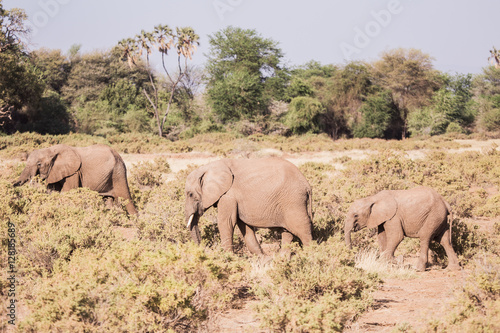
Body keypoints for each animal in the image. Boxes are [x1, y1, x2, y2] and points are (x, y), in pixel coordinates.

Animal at [186, 157, 314, 253]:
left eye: (190, 194)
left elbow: (226, 222)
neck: (208, 167)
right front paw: (263, 259)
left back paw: (310, 256)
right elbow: (244, 226)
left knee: (302, 229)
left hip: (293, 200)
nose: (205, 249)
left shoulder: (228, 195)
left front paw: (228, 258)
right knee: (287, 232)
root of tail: (307, 184)